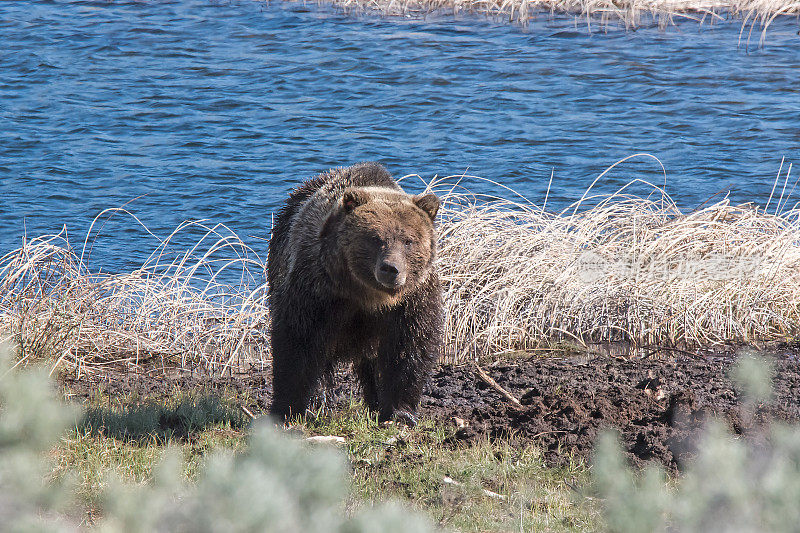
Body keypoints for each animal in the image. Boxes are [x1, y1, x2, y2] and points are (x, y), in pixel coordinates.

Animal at [268, 162, 444, 424]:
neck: (368, 295)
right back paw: (319, 402)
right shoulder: (318, 289)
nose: (390, 269)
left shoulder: (413, 298)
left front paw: (400, 412)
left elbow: (409, 346)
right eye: (376, 238)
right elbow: (299, 340)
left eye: (408, 241)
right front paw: (289, 408)